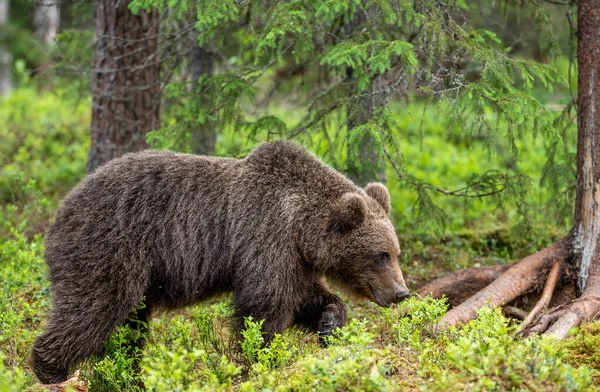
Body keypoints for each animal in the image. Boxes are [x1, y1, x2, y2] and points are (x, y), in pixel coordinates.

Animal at [31, 140, 408, 382]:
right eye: (380, 255)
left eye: (395, 252)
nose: (401, 292)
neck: (300, 225)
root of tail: (62, 208)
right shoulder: (265, 237)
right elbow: (264, 308)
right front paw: (261, 362)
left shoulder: (293, 259)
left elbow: (304, 297)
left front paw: (329, 322)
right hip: (110, 249)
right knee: (93, 309)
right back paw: (52, 372)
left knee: (128, 329)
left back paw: (125, 375)